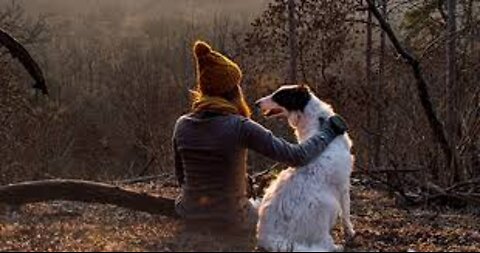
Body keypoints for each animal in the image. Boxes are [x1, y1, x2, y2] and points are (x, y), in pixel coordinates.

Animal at [255, 85, 356, 251]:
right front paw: (350, 232)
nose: (257, 103)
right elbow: (346, 214)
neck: (320, 124)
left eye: (279, 95)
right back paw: (336, 247)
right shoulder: (344, 184)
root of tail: (269, 238)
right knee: (324, 244)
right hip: (327, 205)